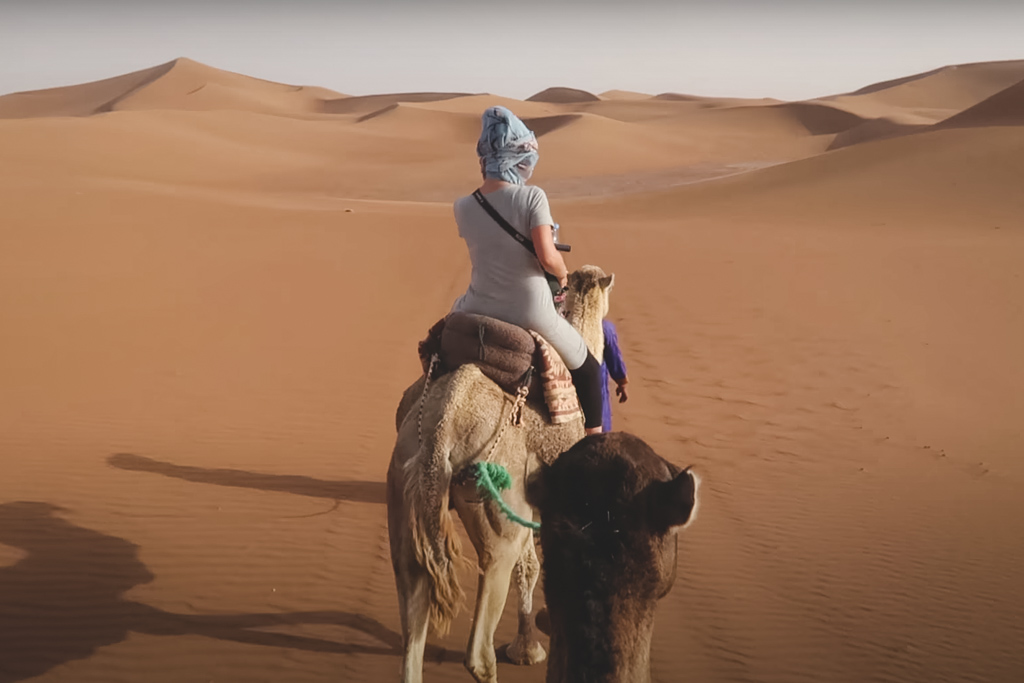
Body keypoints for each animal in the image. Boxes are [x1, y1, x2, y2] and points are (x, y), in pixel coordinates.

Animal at [385, 264, 610, 679]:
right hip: (495, 507)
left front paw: (527, 645)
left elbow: (530, 566)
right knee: (479, 645)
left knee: (412, 629)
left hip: (404, 496)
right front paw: (530, 648)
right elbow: (534, 567)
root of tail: (445, 426)